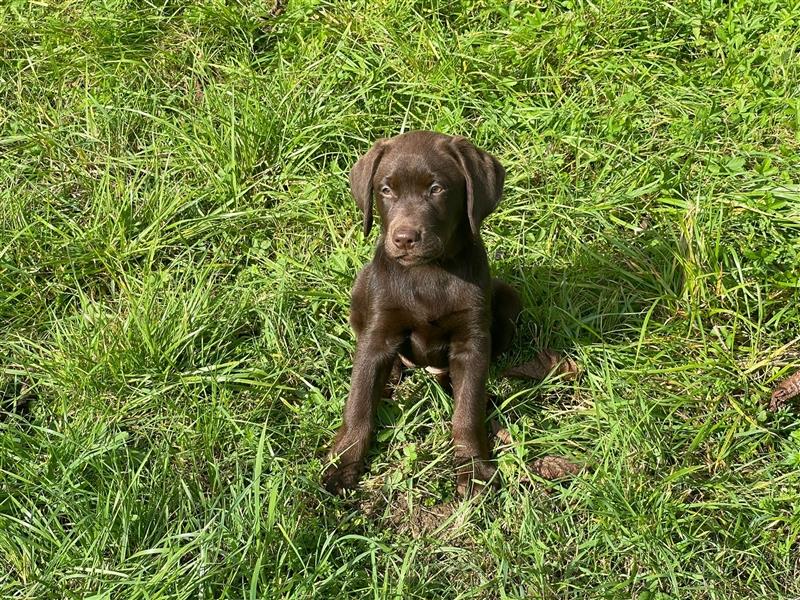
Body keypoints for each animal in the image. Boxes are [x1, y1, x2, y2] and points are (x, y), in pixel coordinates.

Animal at [322, 130, 520, 496]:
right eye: (386, 190)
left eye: (436, 189)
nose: (404, 238)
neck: (429, 273)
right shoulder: (378, 332)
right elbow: (359, 403)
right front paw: (343, 465)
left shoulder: (472, 340)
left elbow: (467, 412)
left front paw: (473, 468)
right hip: (361, 288)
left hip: (509, 301)